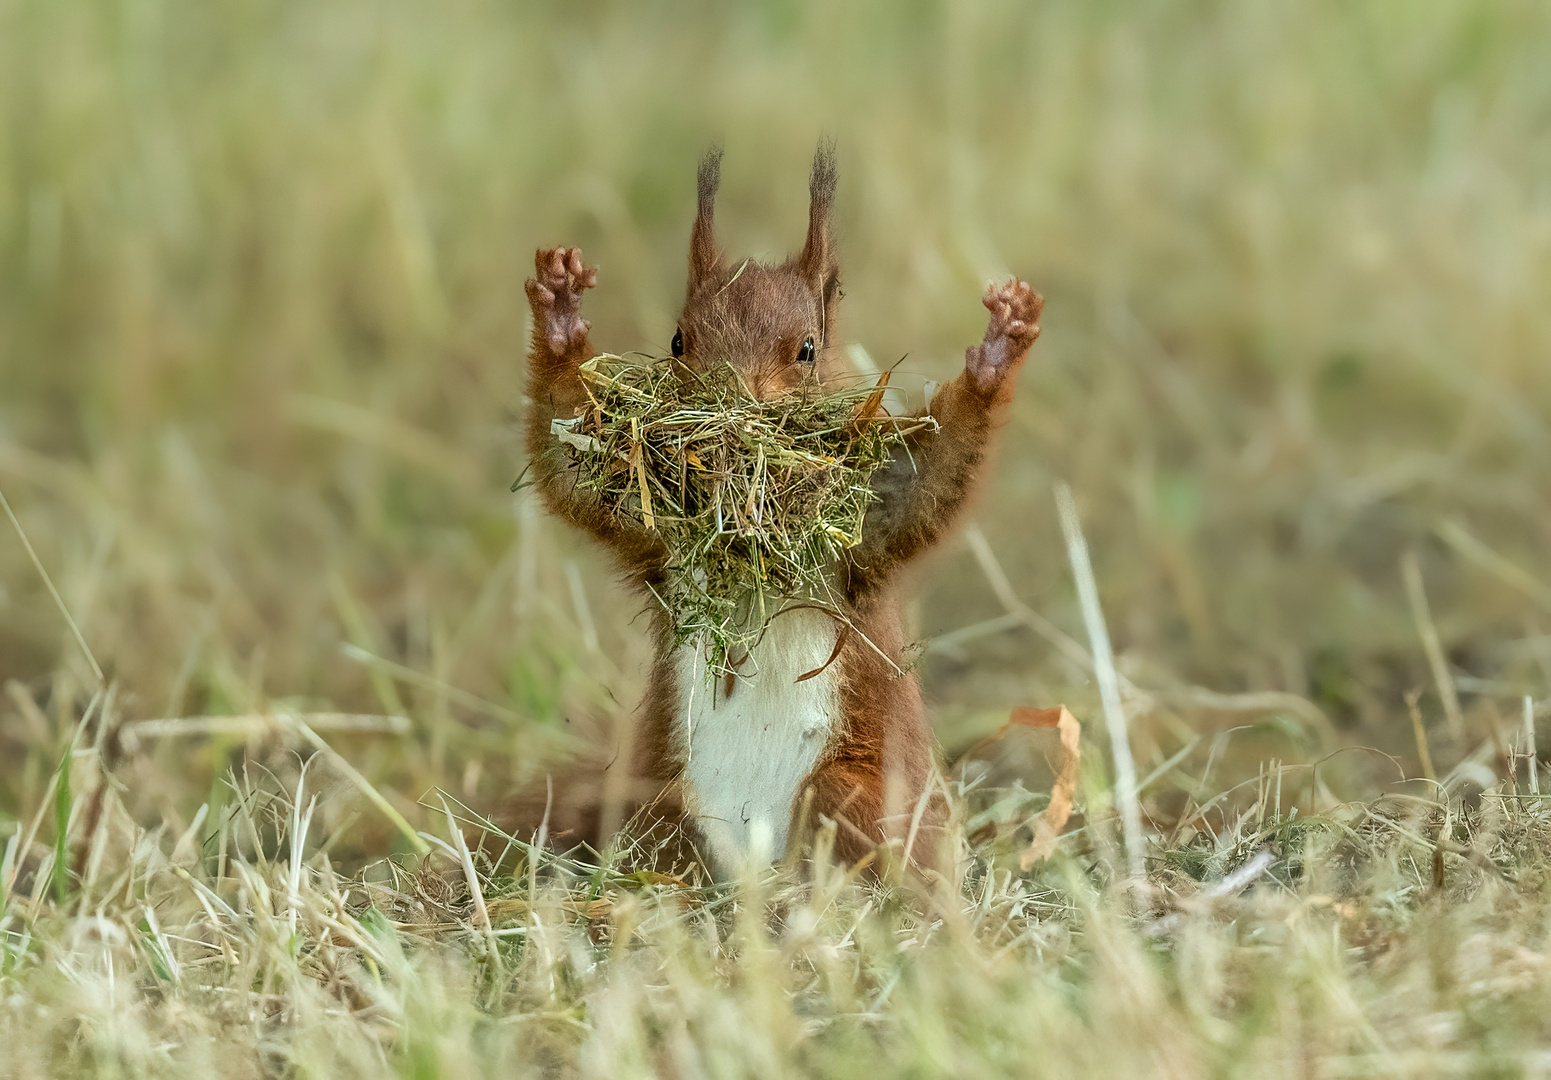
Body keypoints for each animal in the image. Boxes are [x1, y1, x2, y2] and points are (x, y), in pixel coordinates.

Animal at [521, 149, 1042, 875]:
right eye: (677, 341)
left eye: (807, 349)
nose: (732, 408)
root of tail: (753, 875)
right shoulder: (649, 528)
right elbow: (572, 461)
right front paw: (561, 316)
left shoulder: (868, 521)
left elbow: (933, 476)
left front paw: (997, 350)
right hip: (656, 805)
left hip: (851, 789)